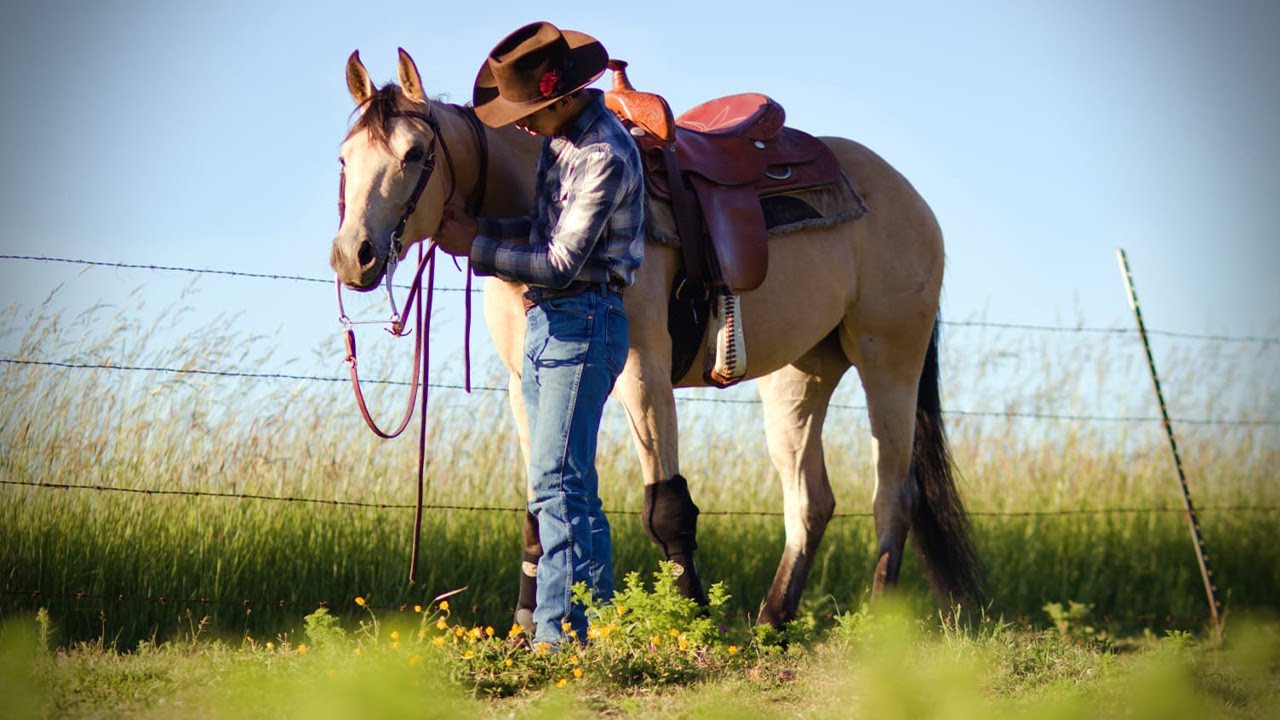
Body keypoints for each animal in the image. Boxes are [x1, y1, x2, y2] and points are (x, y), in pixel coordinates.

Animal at [329, 48, 983, 630]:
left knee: (892, 494)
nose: (352, 256)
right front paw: (524, 627)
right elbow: (540, 506)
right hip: (799, 375)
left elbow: (665, 506)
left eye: (415, 152)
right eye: (343, 158)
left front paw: (690, 621)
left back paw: (875, 628)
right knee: (810, 501)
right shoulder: (524, 385)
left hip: (889, 360)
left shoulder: (642, 370)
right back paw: (772, 622)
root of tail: (908, 197)